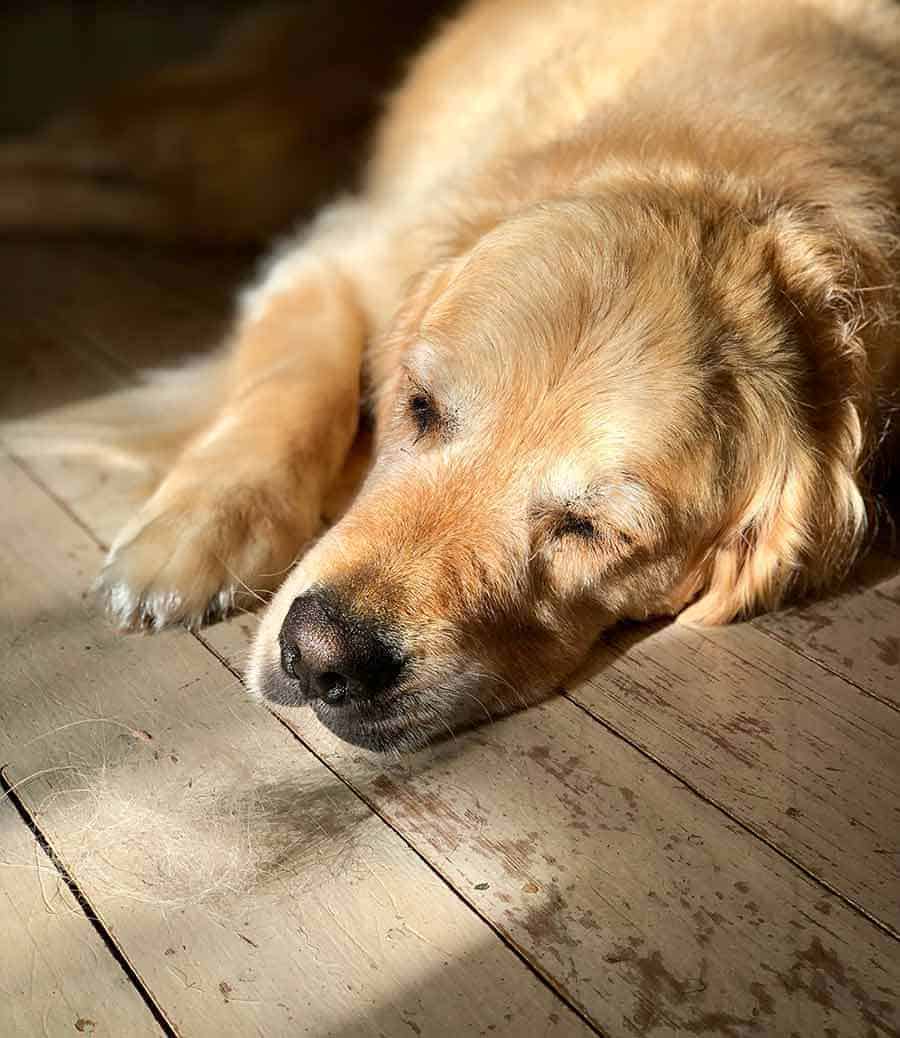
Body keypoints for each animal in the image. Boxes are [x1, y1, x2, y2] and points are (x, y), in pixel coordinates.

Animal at [8, 0, 900, 747]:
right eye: (420, 406)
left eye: (594, 530)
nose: (320, 657)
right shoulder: (347, 252)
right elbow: (293, 380)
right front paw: (197, 532)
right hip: (228, 155)